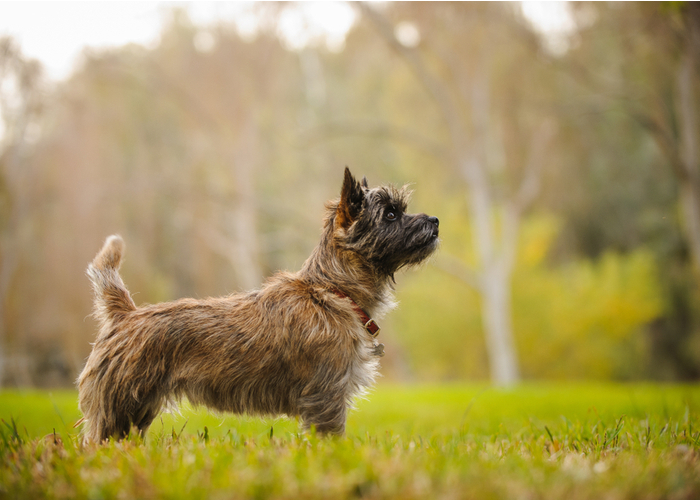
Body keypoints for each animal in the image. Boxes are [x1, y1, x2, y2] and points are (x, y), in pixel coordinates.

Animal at [76, 169, 438, 442]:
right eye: (390, 214)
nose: (434, 220)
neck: (331, 291)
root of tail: (126, 315)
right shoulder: (328, 396)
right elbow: (330, 438)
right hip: (119, 410)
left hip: (135, 412)